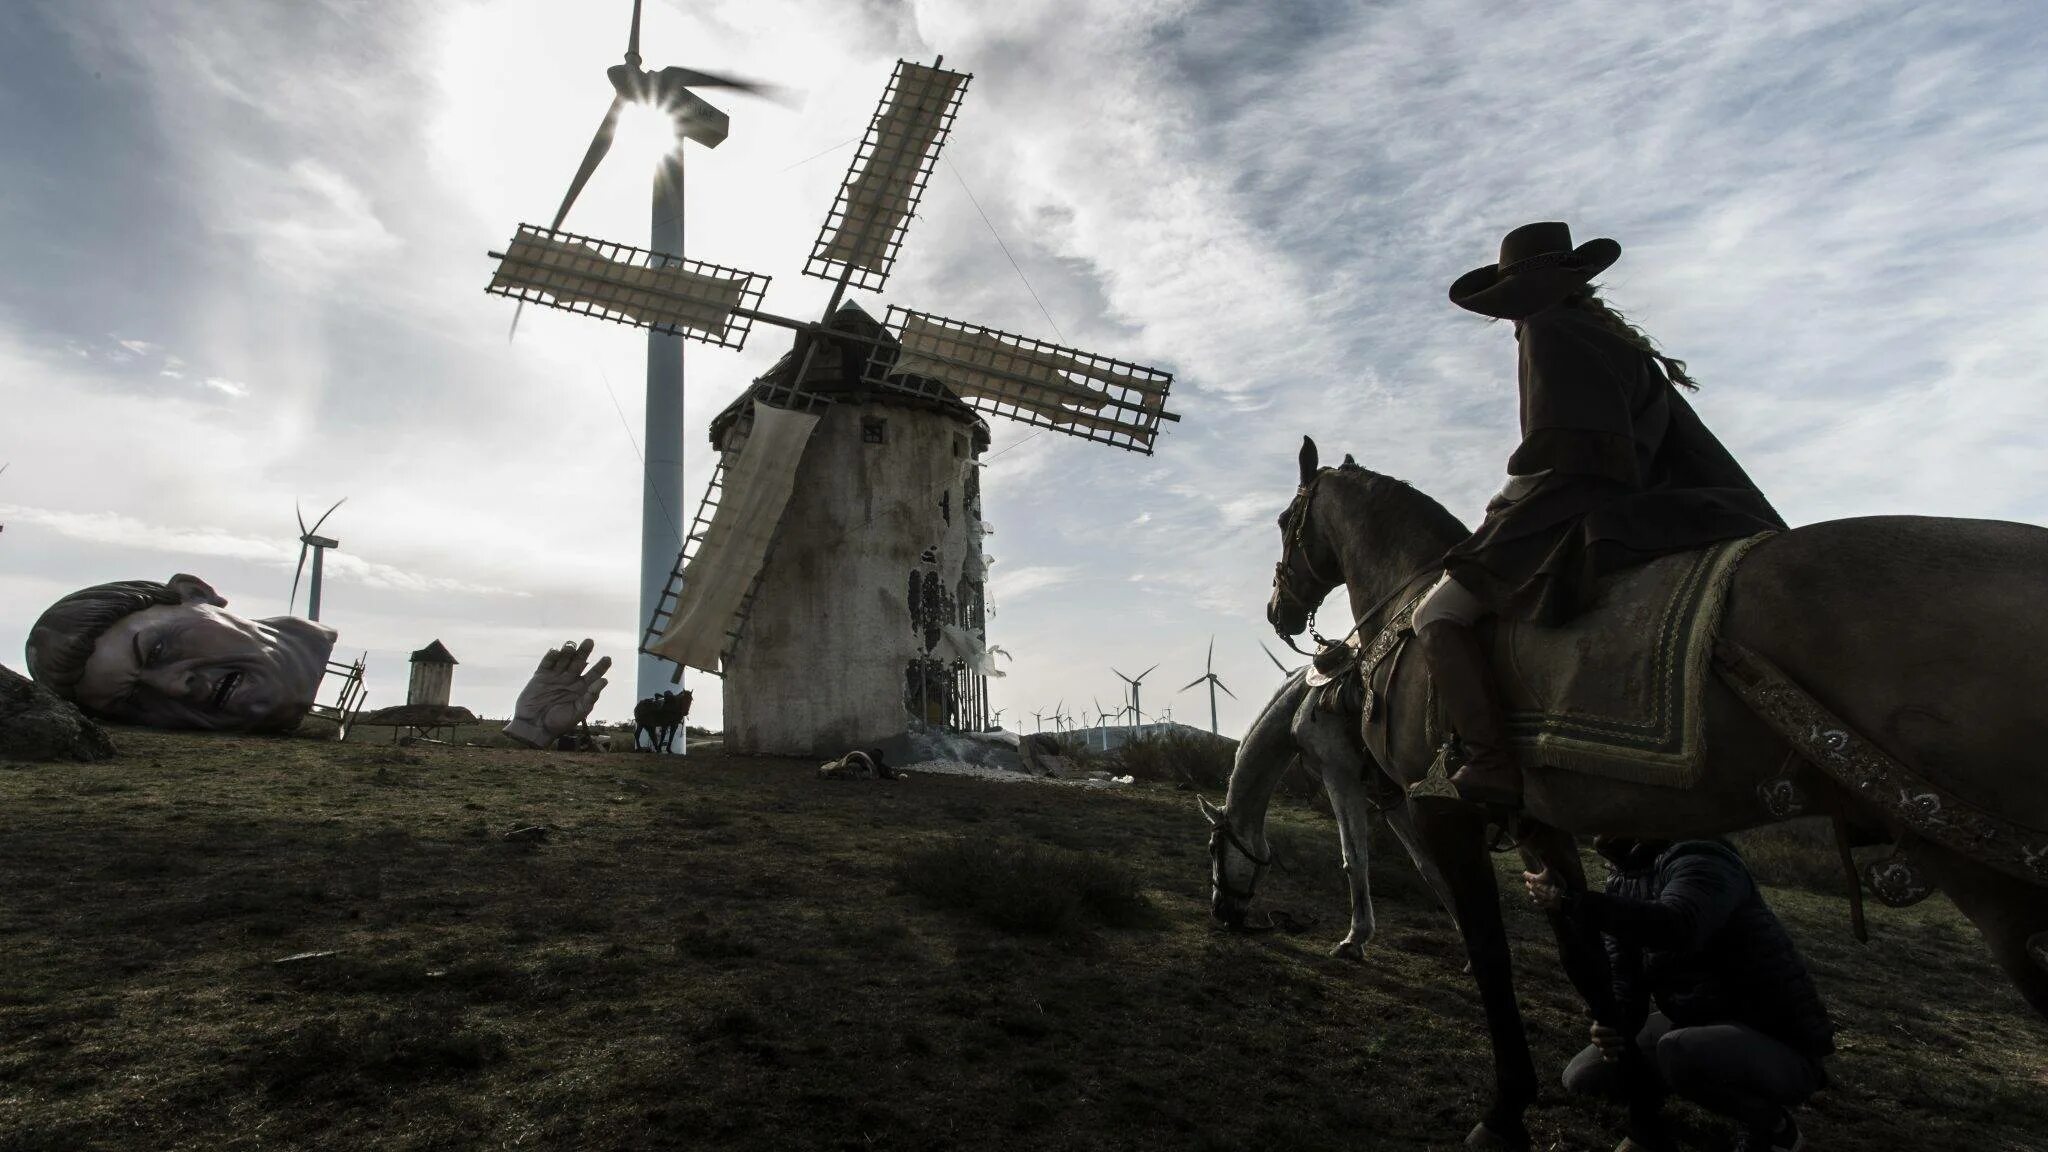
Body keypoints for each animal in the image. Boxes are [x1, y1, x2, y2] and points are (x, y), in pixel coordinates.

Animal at [1196, 660, 1458, 955]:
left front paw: (1355, 939)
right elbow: (1428, 866)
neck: (1303, 703)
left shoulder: (1339, 774)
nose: (1219, 911)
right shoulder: (1392, 797)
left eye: (1212, 848)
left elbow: (1354, 857)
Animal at [1228, 434, 2048, 1139]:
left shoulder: (1432, 805)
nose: (1276, 609)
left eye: (1285, 522)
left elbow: (1481, 943)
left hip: (1989, 874)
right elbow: (1588, 962)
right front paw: (1641, 1114)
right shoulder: (1536, 823)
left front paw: (1505, 1108)